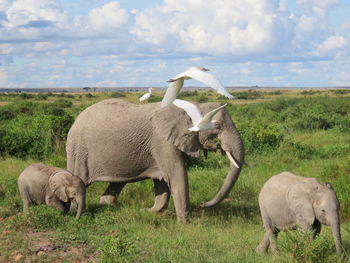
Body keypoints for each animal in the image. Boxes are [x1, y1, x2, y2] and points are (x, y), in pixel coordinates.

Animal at [67, 99, 245, 223]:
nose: (202, 204)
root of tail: (75, 120)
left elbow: (162, 182)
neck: (192, 107)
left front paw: (147, 212)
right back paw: (73, 212)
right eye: (218, 126)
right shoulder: (162, 142)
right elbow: (176, 175)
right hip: (79, 150)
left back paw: (109, 206)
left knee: (117, 183)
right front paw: (185, 223)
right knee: (79, 181)